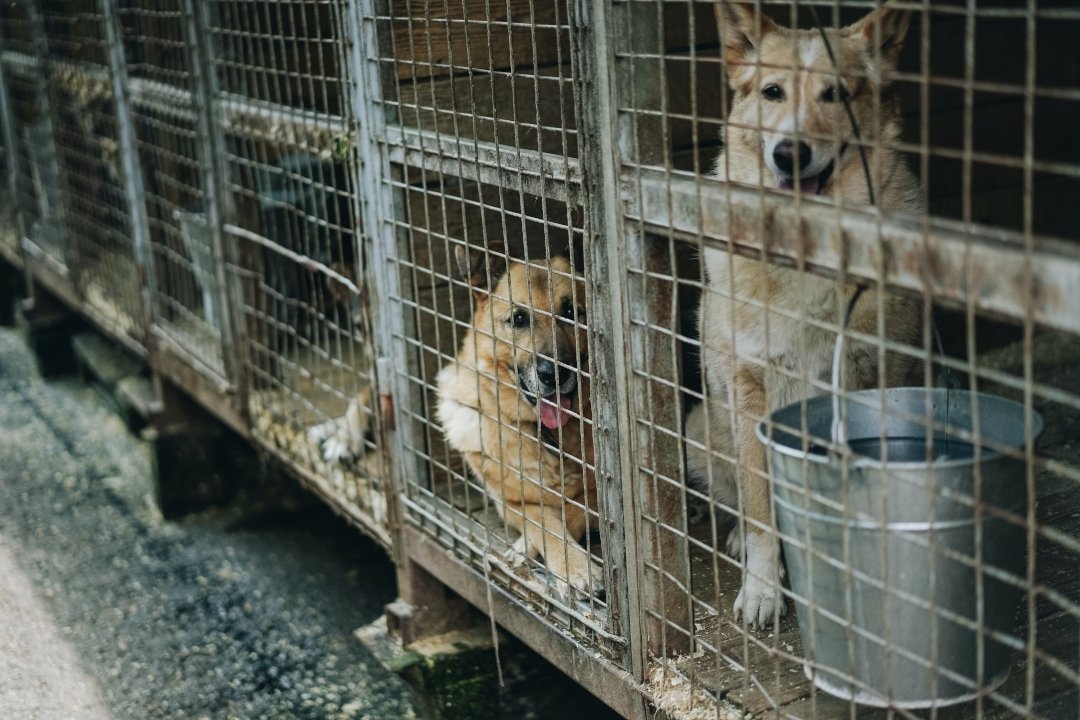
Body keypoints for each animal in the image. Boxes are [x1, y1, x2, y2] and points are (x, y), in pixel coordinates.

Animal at [434, 250, 604, 600]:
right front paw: (572, 567)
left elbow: (569, 511)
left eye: (571, 312)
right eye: (519, 319)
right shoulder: (510, 502)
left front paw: (566, 565)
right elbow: (544, 519)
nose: (555, 374)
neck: (547, 434)